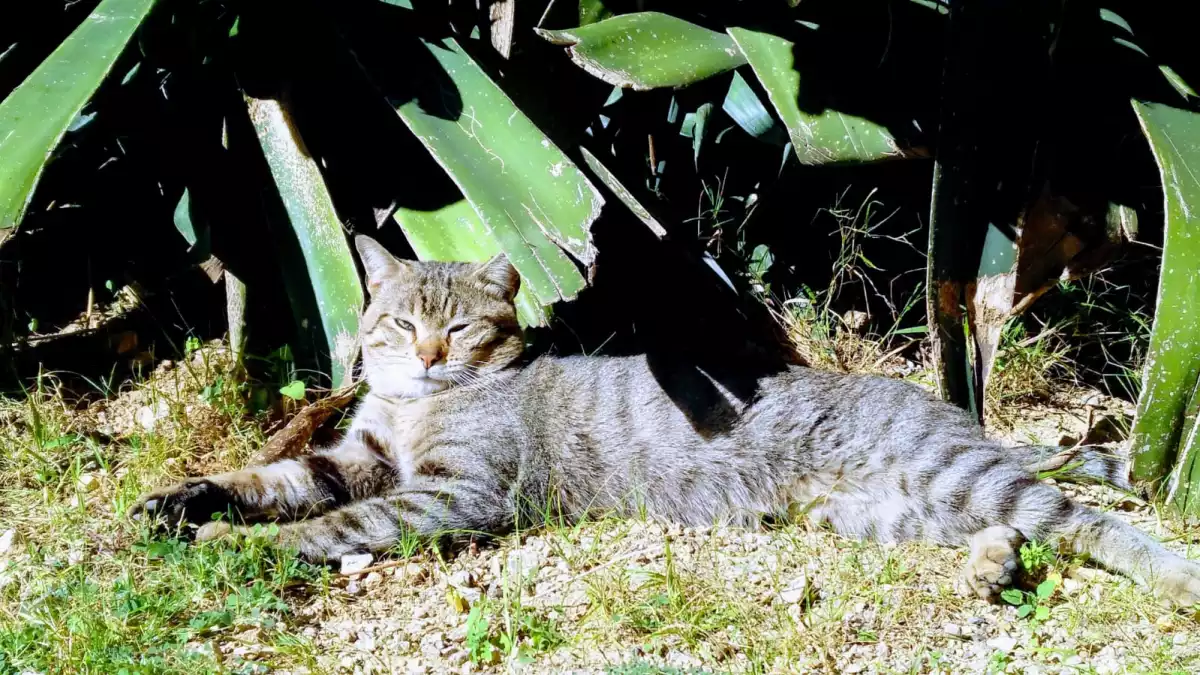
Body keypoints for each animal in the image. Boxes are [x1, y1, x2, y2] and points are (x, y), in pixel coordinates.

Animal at [131, 235, 1200, 605]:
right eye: (400, 321)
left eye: (460, 326)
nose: (427, 352)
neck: (414, 405)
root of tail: (943, 405)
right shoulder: (356, 457)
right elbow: (269, 479)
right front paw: (181, 504)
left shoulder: (452, 493)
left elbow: (329, 524)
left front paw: (243, 548)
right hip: (884, 512)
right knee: (1019, 532)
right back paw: (986, 569)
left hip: (948, 477)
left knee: (1082, 521)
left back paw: (1169, 576)